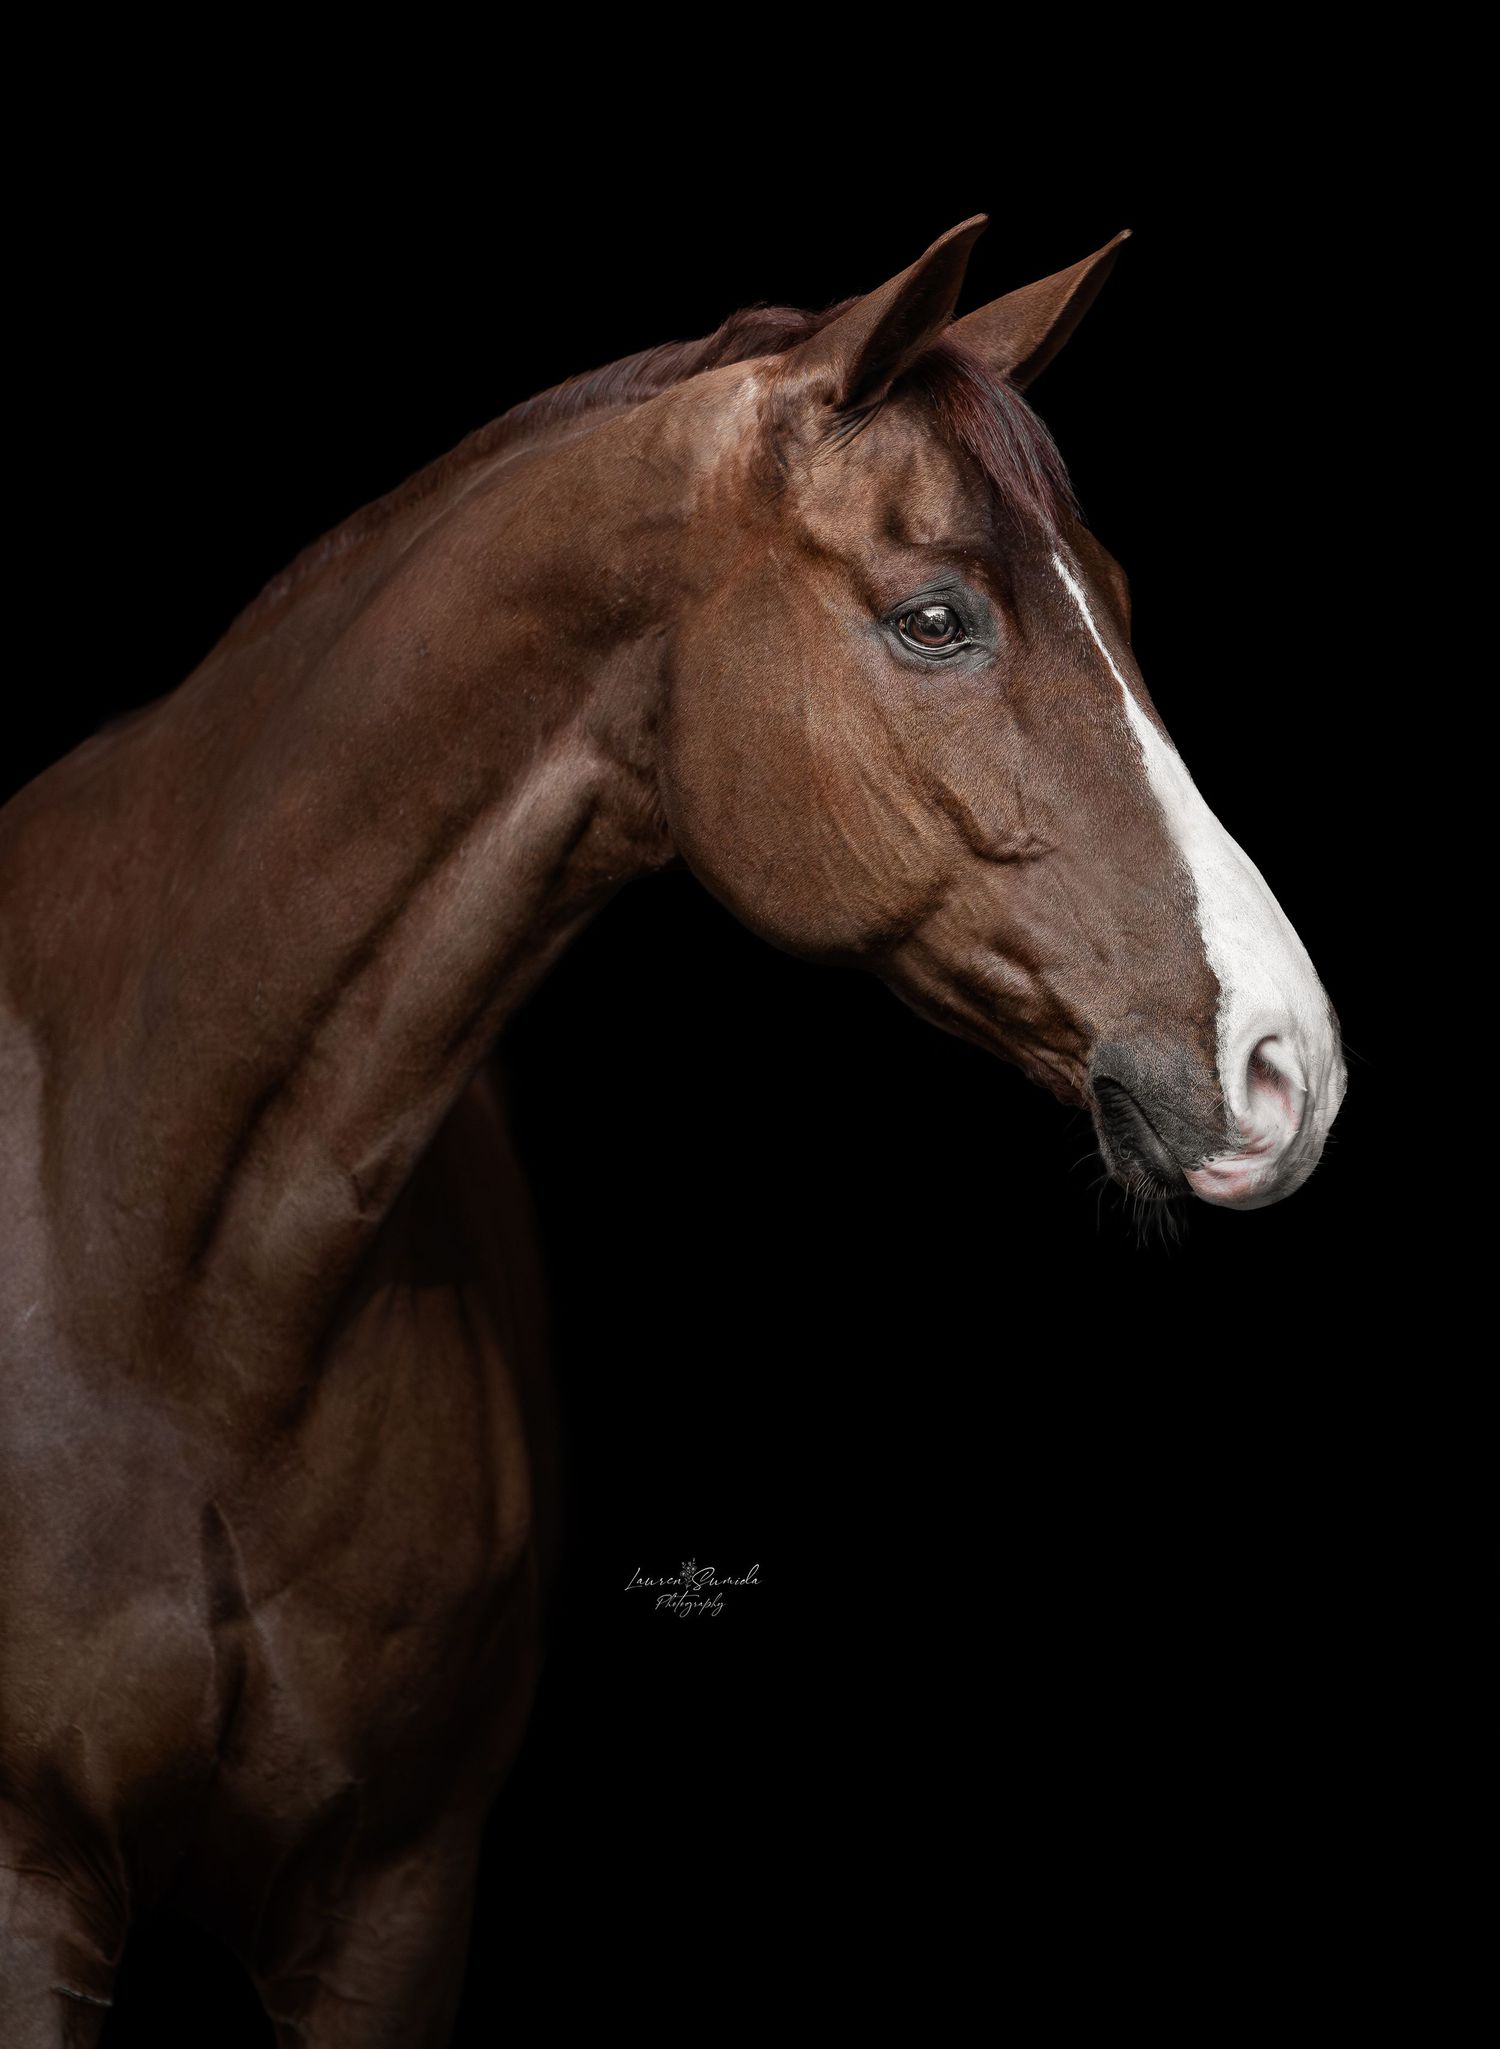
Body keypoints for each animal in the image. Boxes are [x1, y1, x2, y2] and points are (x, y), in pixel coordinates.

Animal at [0, 215, 1345, 2044]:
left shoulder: (394, 1899)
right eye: (937, 618)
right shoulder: (31, 1886)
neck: (164, 1268)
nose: (1291, 1064)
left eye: (1121, 605)